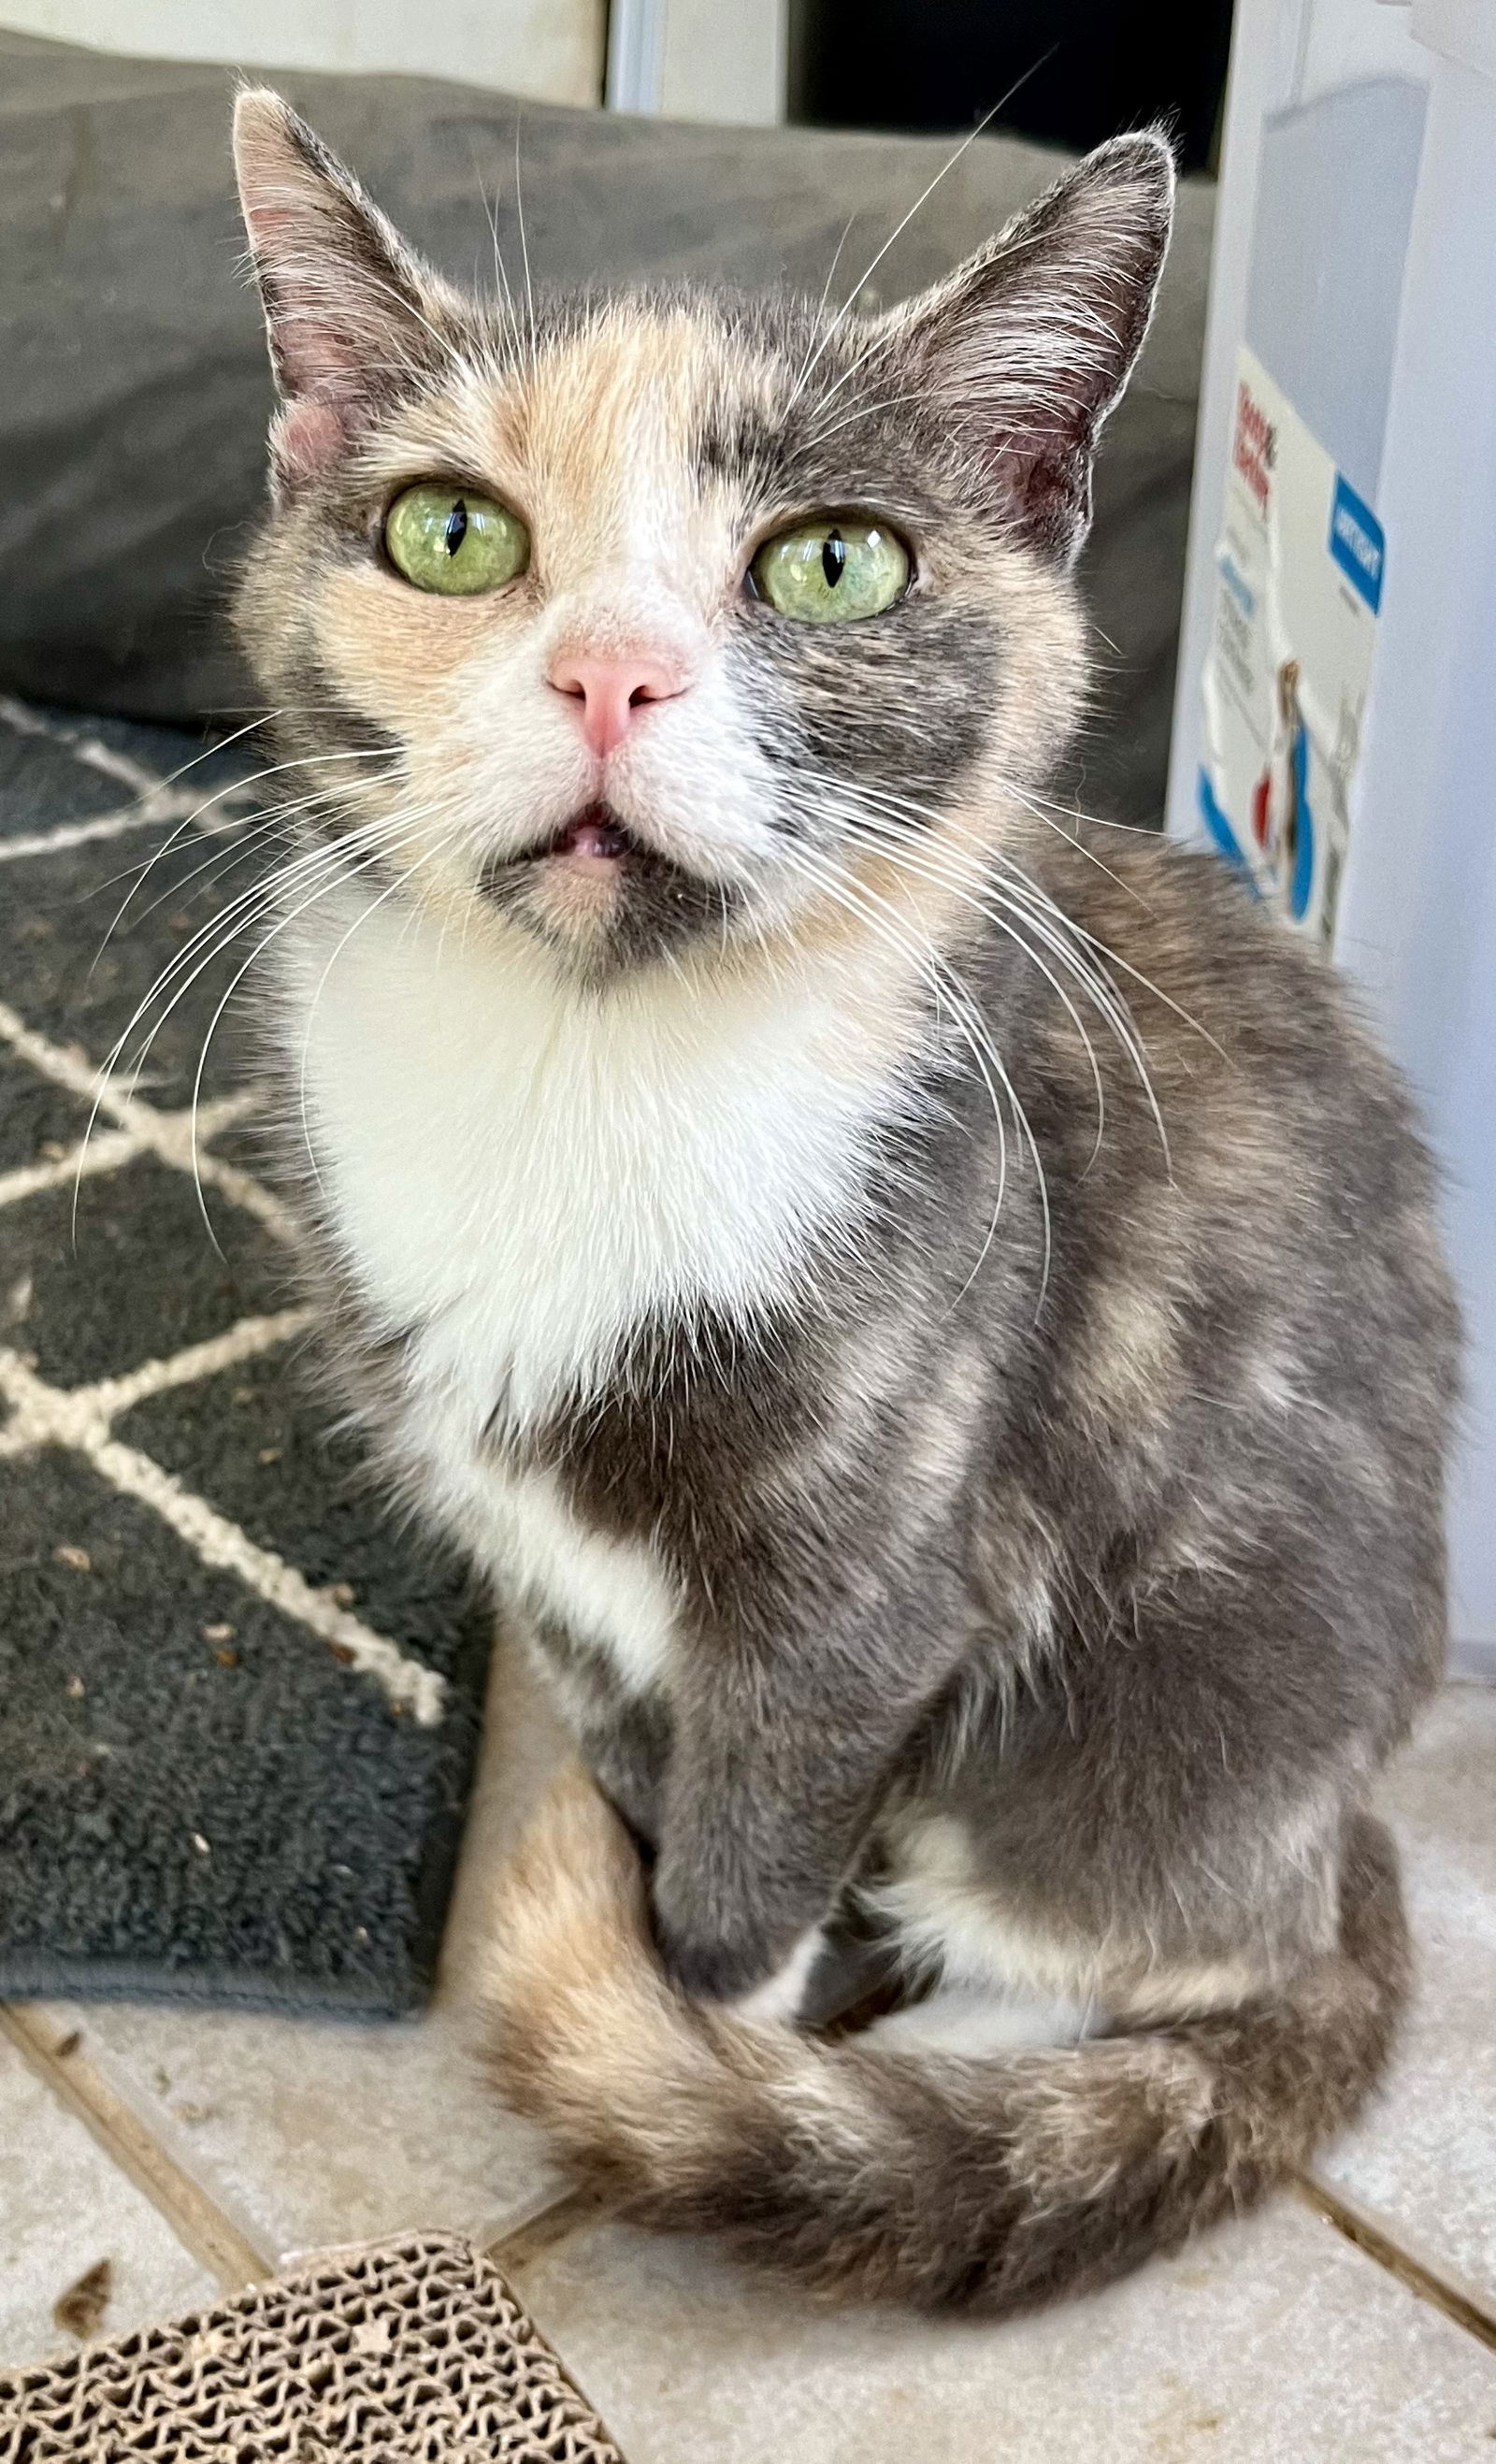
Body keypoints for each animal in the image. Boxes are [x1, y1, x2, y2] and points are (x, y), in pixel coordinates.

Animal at [227, 91, 1459, 2306]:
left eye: (830, 561)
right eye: (449, 532)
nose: (612, 674)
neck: (582, 1074)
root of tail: (1349, 1840)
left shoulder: (865, 1590)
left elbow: (750, 1874)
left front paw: (700, 2053)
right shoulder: (548, 1554)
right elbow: (642, 1761)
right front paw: (637, 1905)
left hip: (1161, 1736)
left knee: (1147, 1959)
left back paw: (929, 2060)